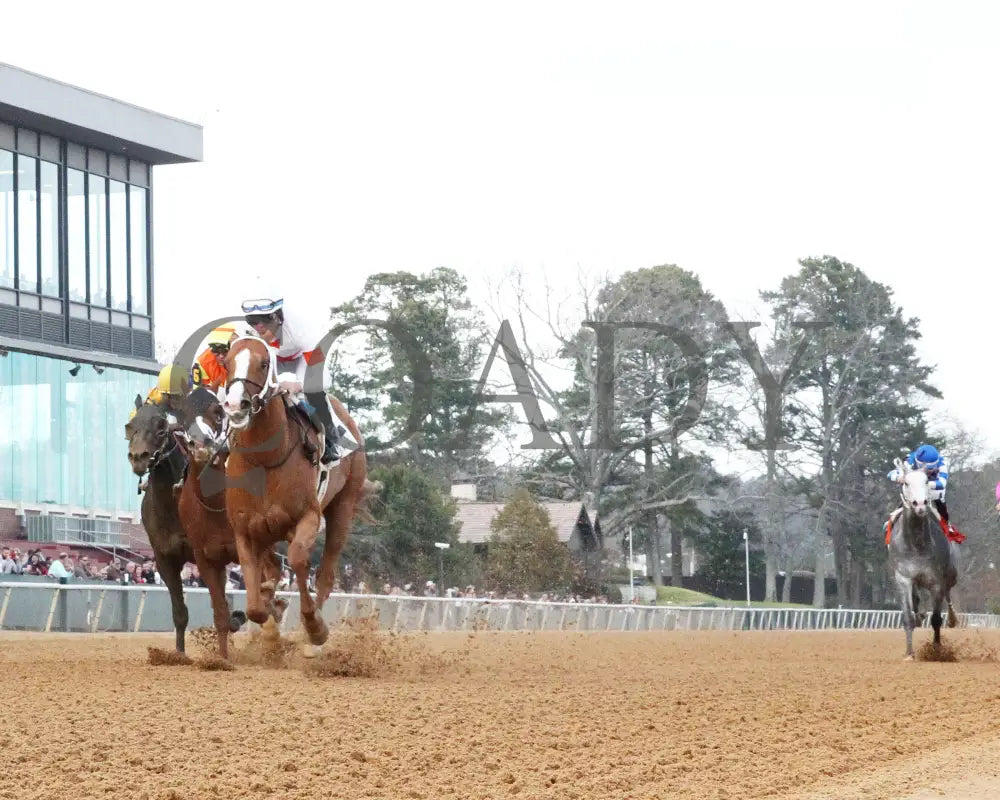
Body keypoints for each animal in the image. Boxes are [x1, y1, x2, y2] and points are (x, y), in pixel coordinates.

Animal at [221, 334, 376, 652]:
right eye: (227, 362)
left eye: (263, 363)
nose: (235, 404)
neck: (264, 459)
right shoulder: (244, 530)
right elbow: (255, 602)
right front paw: (270, 621)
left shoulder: (307, 517)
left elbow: (298, 561)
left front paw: (314, 627)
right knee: (274, 571)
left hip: (342, 508)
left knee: (325, 574)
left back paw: (312, 640)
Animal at [888, 460, 956, 660]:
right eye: (906, 483)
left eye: (927, 481)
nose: (919, 504)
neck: (916, 545)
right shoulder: (903, 578)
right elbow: (908, 617)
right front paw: (909, 653)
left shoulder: (936, 581)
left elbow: (936, 619)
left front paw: (937, 650)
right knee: (917, 598)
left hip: (951, 574)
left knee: (948, 594)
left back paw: (952, 618)